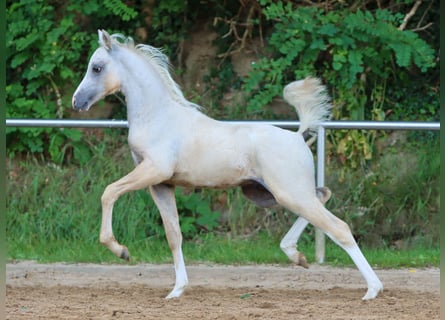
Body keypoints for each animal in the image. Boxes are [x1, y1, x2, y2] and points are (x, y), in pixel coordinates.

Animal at [72, 30, 382, 300]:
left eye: (97, 68)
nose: (77, 101)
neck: (158, 117)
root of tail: (297, 136)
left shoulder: (153, 170)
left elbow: (109, 192)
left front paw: (121, 250)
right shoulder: (161, 184)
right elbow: (174, 235)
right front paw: (176, 290)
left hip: (289, 193)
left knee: (339, 227)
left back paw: (372, 290)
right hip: (267, 194)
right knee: (323, 196)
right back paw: (297, 255)